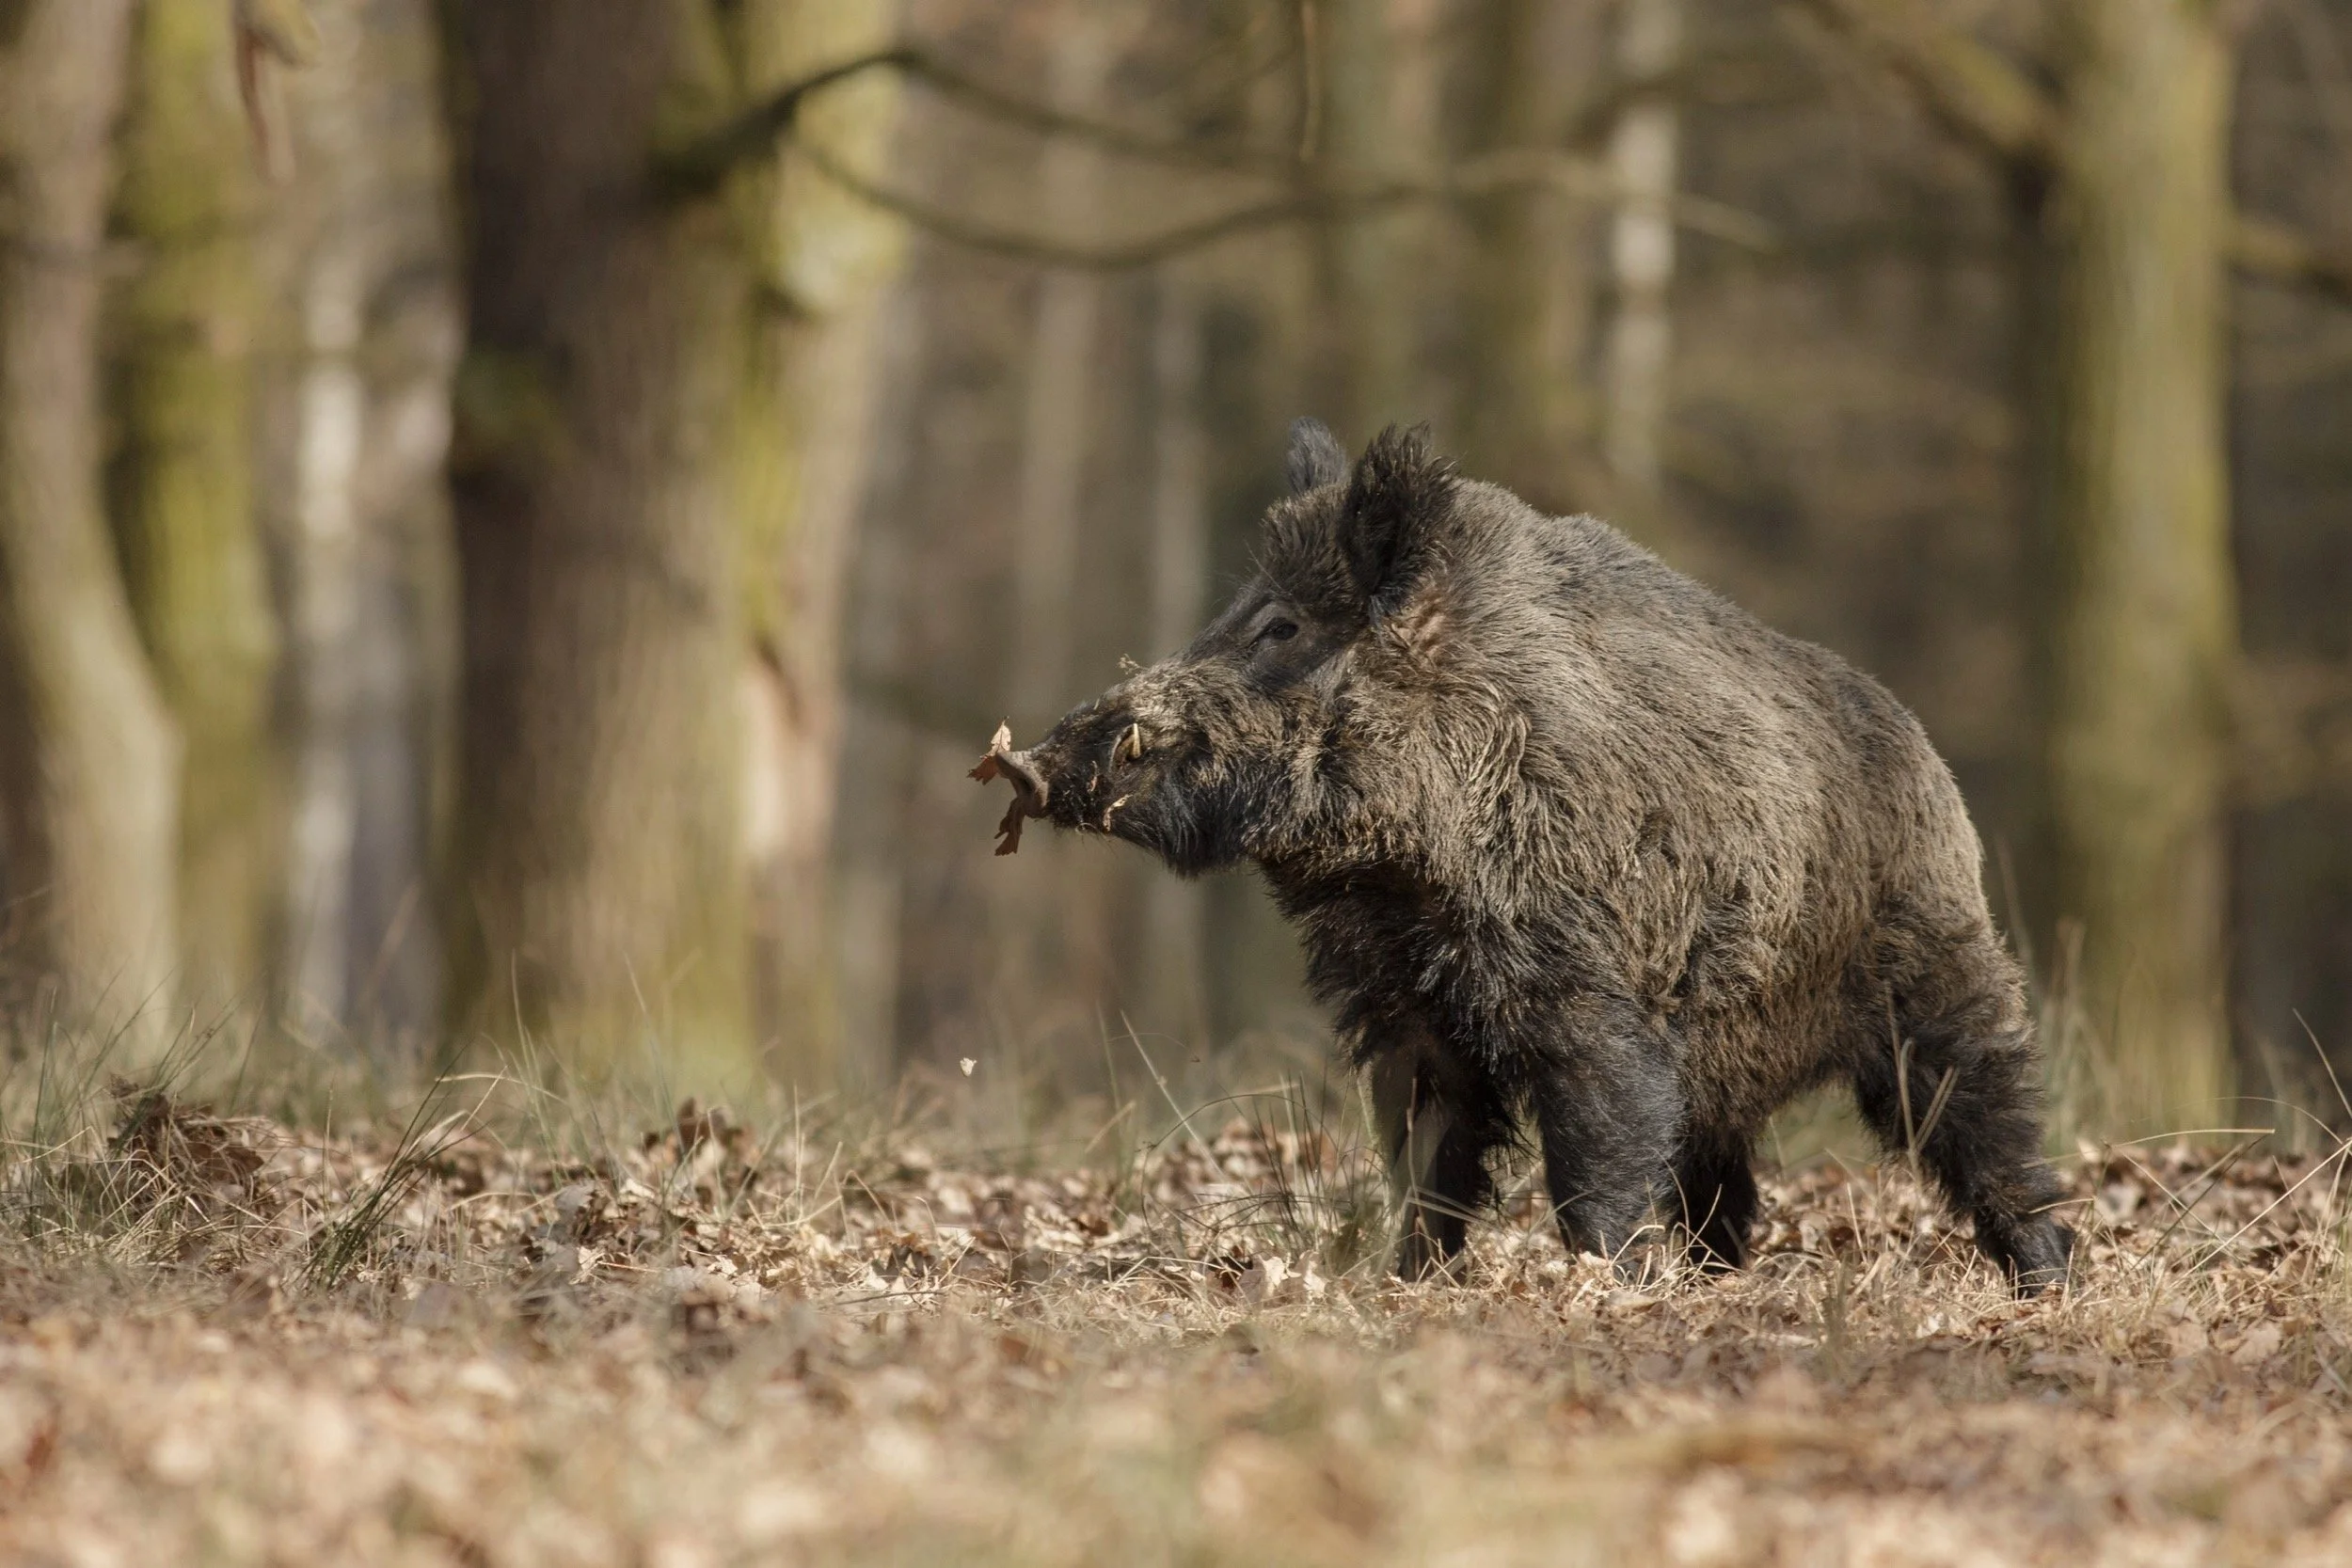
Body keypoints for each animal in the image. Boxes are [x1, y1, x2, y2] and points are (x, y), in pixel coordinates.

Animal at [979, 420, 2072, 1293]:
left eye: (1281, 624)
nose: (1022, 763)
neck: (1401, 876)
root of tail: (1928, 760)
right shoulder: (1402, 1014)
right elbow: (1424, 1167)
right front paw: (1408, 1281)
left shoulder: (1589, 997)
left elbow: (1591, 1157)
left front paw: (1600, 1283)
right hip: (1731, 1053)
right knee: (1723, 1181)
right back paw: (1714, 1278)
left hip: (1937, 982)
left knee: (1993, 1122)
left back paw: (2045, 1279)